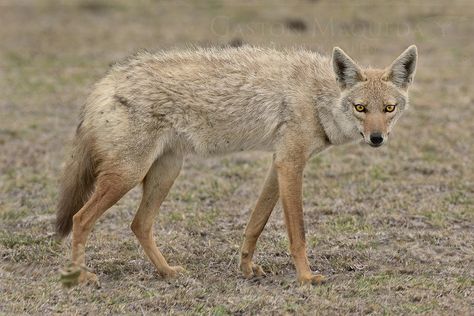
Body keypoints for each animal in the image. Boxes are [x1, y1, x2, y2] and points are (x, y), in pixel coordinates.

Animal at [56, 45, 418, 286]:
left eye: (388, 108)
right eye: (360, 107)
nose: (376, 138)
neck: (318, 98)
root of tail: (103, 83)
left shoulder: (279, 165)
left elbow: (255, 224)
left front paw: (247, 268)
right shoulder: (290, 164)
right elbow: (298, 233)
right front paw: (305, 276)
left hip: (164, 174)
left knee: (139, 224)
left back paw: (167, 272)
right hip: (128, 176)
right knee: (80, 219)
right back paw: (81, 276)